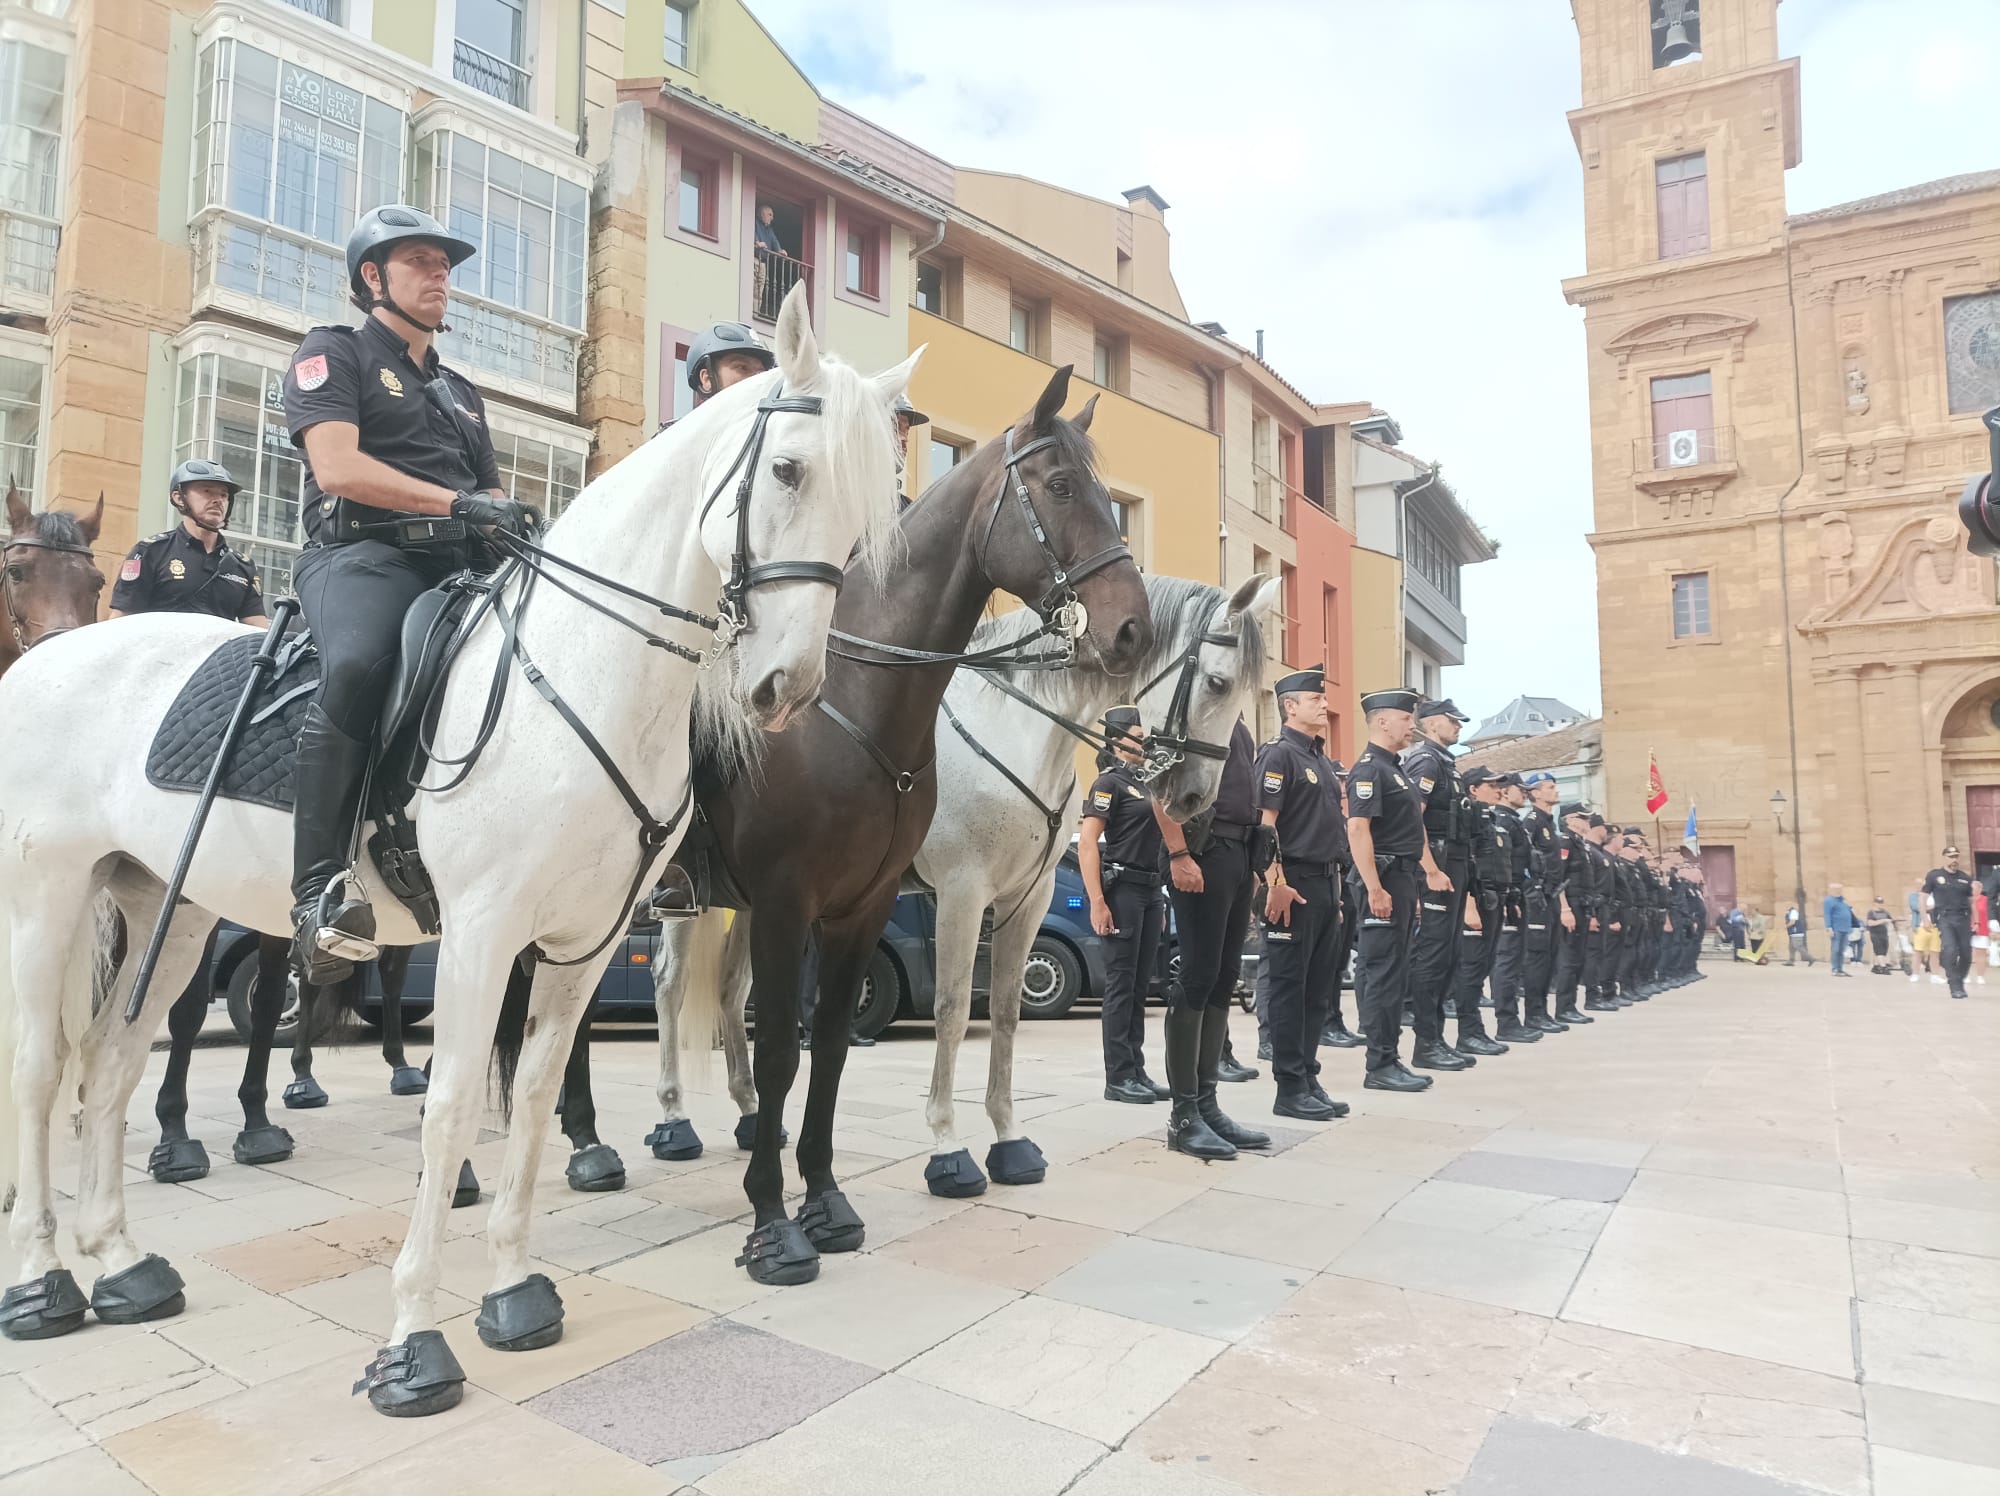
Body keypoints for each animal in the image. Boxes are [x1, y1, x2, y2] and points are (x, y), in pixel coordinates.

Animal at [0, 290, 920, 1416]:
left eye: (870, 511)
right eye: (787, 469)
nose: (786, 686)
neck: (582, 667)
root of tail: (46, 658)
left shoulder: (579, 944)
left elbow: (527, 1097)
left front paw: (514, 1290)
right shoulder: (483, 932)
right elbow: (447, 1112)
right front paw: (412, 1340)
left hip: (162, 907)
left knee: (114, 1059)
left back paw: (121, 1262)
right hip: (46, 894)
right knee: (41, 1069)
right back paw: (43, 1279)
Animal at [644, 572, 1280, 1184]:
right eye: (1218, 684)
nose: (1196, 800)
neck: (1014, 730)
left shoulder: (1029, 898)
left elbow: (1005, 1011)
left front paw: (1008, 1138)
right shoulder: (961, 892)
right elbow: (951, 1011)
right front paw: (948, 1143)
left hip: (753, 901)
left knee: (730, 990)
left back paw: (752, 1114)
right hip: (692, 898)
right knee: (670, 984)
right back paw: (672, 1119)